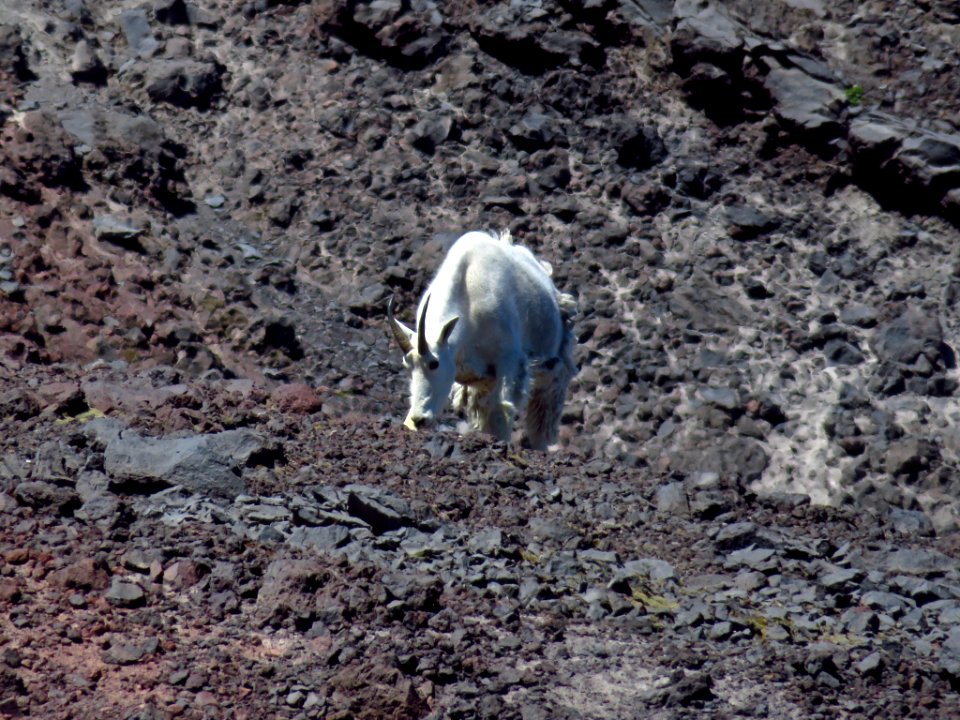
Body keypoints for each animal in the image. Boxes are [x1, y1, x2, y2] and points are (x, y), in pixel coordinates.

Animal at [384, 229, 576, 450]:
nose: (419, 419)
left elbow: (502, 410)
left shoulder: (509, 361)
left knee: (542, 414)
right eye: (407, 366)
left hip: (553, 368)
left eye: (434, 363)